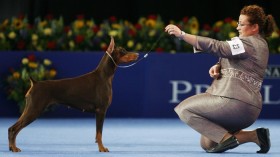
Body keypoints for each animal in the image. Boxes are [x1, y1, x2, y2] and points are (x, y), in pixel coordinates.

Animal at [8, 36, 139, 152]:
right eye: (123, 51)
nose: (138, 54)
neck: (105, 76)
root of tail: (34, 83)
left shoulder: (99, 111)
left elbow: (97, 134)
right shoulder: (101, 110)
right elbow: (99, 133)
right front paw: (102, 148)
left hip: (29, 108)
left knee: (11, 128)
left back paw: (12, 147)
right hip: (34, 109)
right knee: (14, 129)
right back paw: (14, 148)